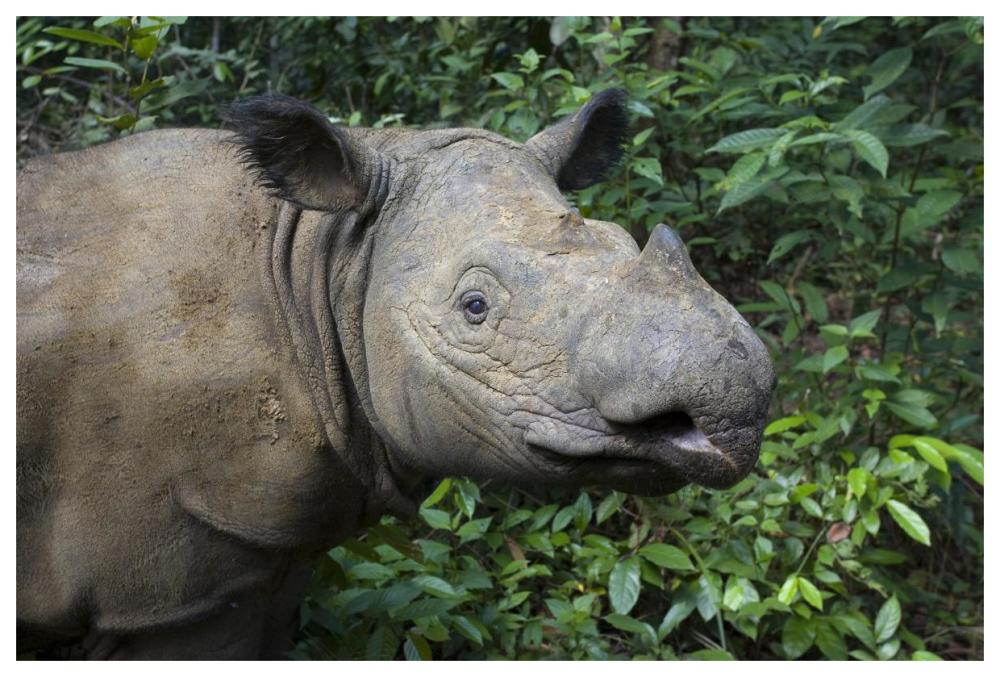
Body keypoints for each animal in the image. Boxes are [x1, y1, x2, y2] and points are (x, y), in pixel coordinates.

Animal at [16, 89, 774, 659]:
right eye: (474, 307)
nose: (733, 407)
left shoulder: (272, 543)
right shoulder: (175, 591)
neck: (325, 260)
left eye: (622, 242)